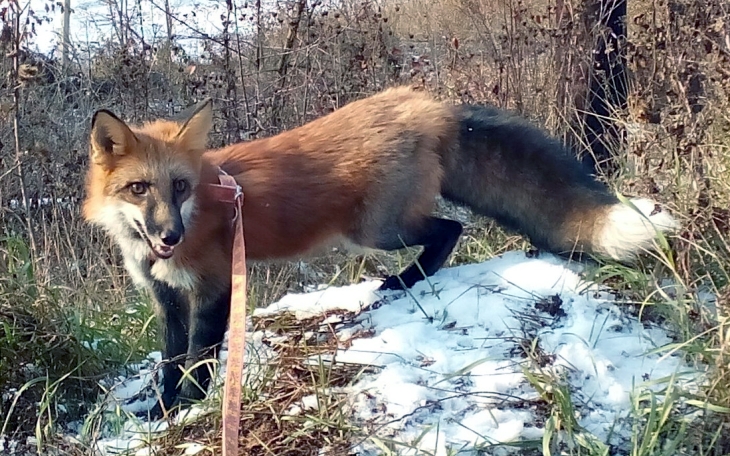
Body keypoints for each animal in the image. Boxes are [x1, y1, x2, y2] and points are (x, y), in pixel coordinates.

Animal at [84, 87, 676, 416]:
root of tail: (428, 105)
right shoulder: (167, 300)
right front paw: (160, 410)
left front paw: (185, 409)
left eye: (181, 187)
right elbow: (169, 362)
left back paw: (406, 281)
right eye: (140, 189)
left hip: (375, 229)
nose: (170, 238)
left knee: (450, 228)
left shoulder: (214, 290)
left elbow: (198, 364)